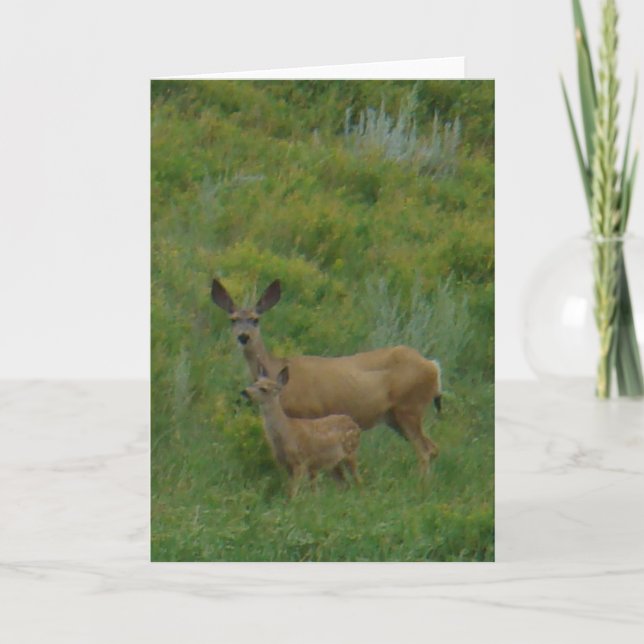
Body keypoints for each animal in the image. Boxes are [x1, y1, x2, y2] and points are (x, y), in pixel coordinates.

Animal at [211, 278, 442, 472]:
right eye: (233, 320)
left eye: (255, 319)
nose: (243, 336)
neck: (277, 369)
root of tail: (433, 366)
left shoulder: (310, 412)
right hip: (394, 416)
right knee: (433, 447)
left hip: (409, 407)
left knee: (425, 450)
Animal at [243, 364, 362, 496]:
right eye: (255, 382)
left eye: (264, 389)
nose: (245, 392)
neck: (285, 430)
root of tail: (354, 423)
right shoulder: (286, 464)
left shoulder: (300, 461)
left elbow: (292, 492)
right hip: (333, 463)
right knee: (345, 484)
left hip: (350, 451)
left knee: (358, 480)